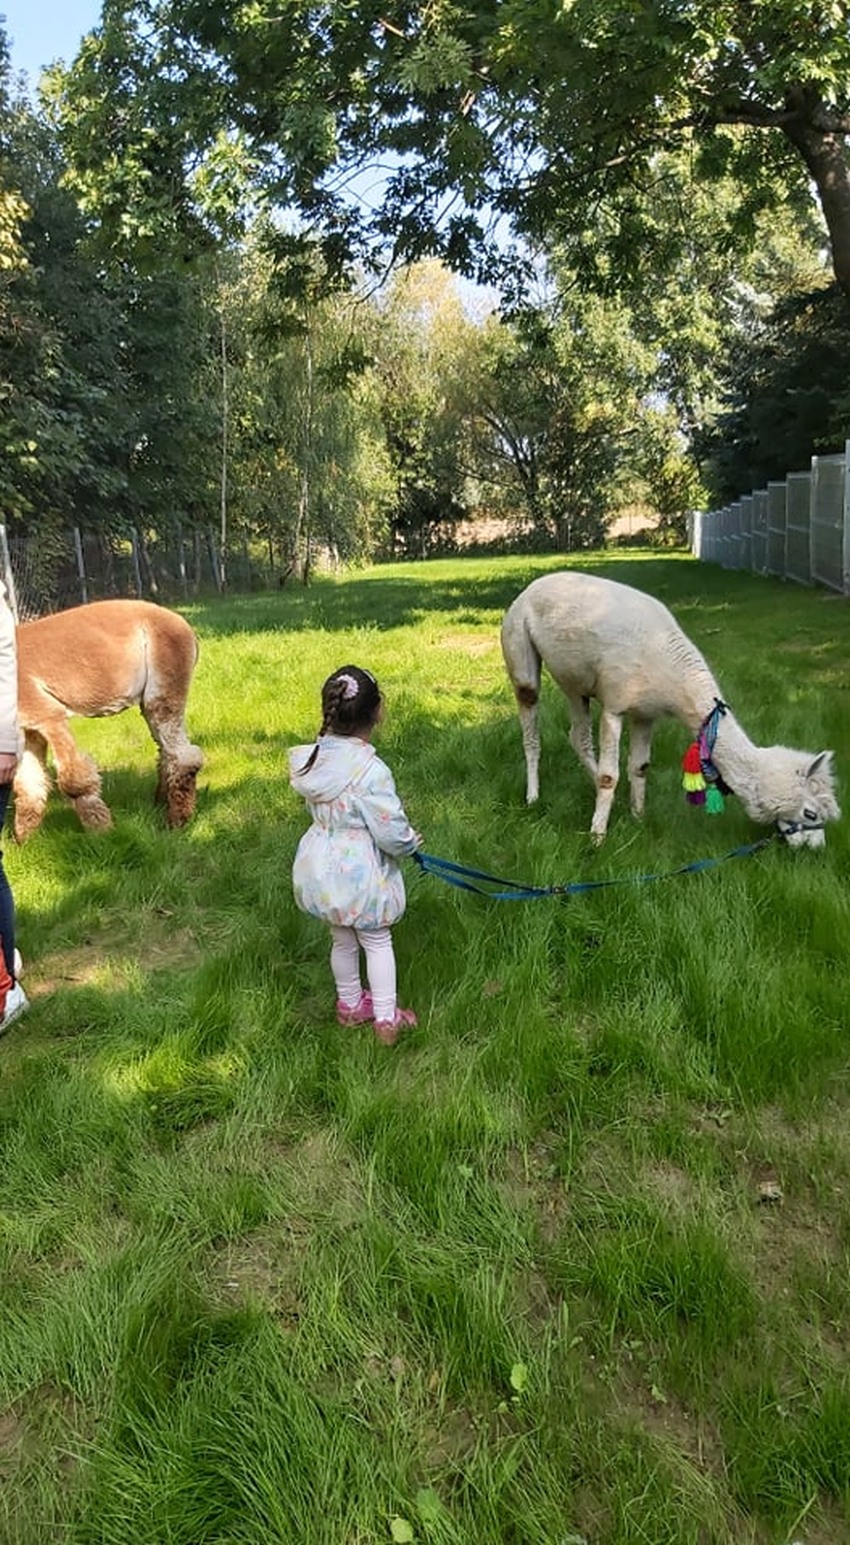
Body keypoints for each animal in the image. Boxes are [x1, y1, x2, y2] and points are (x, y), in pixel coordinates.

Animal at [14, 599, 204, 841]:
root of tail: (185, 625)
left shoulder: (46, 712)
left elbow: (73, 780)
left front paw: (103, 832)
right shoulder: (29, 727)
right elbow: (29, 783)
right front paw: (23, 839)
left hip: (166, 677)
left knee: (184, 755)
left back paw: (176, 821)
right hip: (150, 698)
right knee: (166, 751)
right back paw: (161, 804)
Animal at [500, 571, 840, 847]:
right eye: (810, 813)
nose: (816, 847)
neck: (666, 663)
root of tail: (530, 587)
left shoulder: (645, 713)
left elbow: (639, 766)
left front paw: (637, 817)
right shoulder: (615, 704)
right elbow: (611, 775)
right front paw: (597, 837)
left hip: (576, 682)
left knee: (577, 735)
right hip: (518, 641)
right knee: (531, 724)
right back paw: (533, 796)